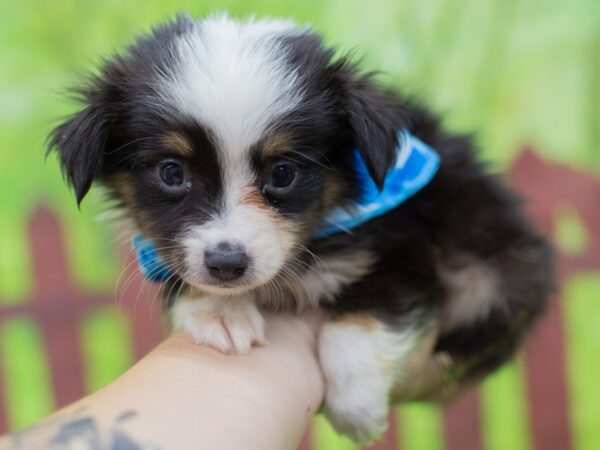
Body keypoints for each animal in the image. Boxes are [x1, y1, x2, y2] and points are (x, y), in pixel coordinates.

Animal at [49, 14, 556, 442]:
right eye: (172, 173)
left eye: (283, 173)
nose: (227, 264)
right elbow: (179, 271)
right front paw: (219, 312)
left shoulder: (406, 243)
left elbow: (358, 323)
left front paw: (356, 409)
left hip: (485, 274)